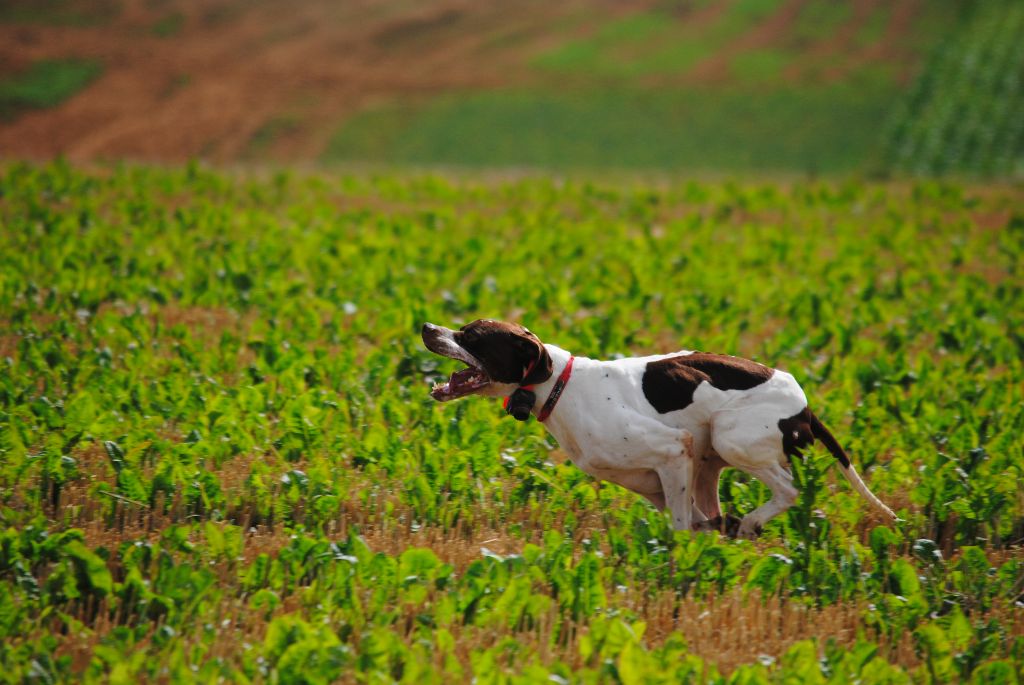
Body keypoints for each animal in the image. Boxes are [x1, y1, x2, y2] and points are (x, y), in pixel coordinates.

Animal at [421, 317, 897, 536]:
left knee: (789, 490)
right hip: (710, 463)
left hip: (730, 437)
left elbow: (683, 530)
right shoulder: (662, 482)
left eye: (472, 335)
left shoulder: (673, 449)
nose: (427, 327)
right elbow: (699, 522)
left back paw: (751, 522)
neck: (559, 385)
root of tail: (805, 406)